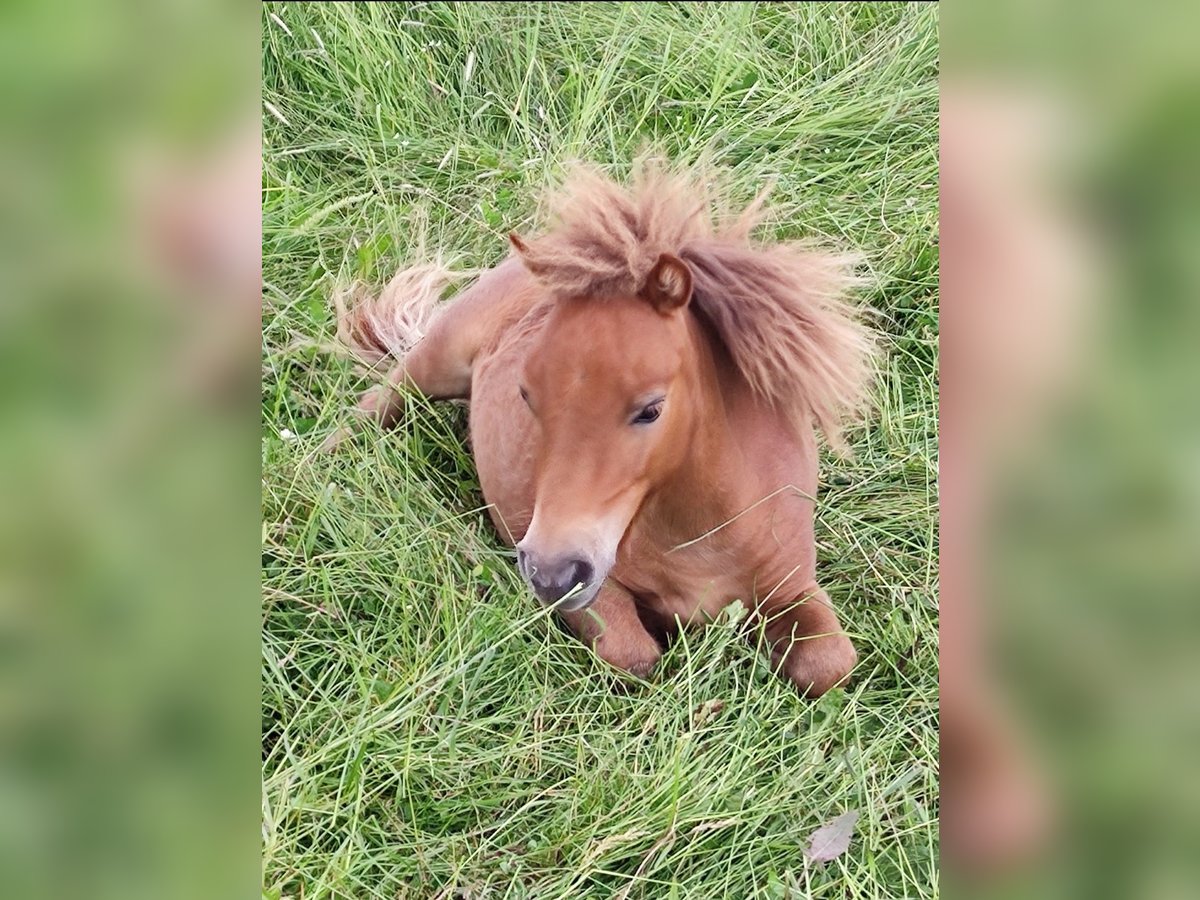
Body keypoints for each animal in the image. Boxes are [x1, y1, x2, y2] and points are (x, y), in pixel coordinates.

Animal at [333, 160, 878, 696]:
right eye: (527, 395)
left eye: (651, 409)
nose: (552, 574)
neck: (700, 534)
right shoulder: (601, 592)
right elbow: (633, 656)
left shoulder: (792, 586)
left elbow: (831, 664)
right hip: (436, 360)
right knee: (376, 404)